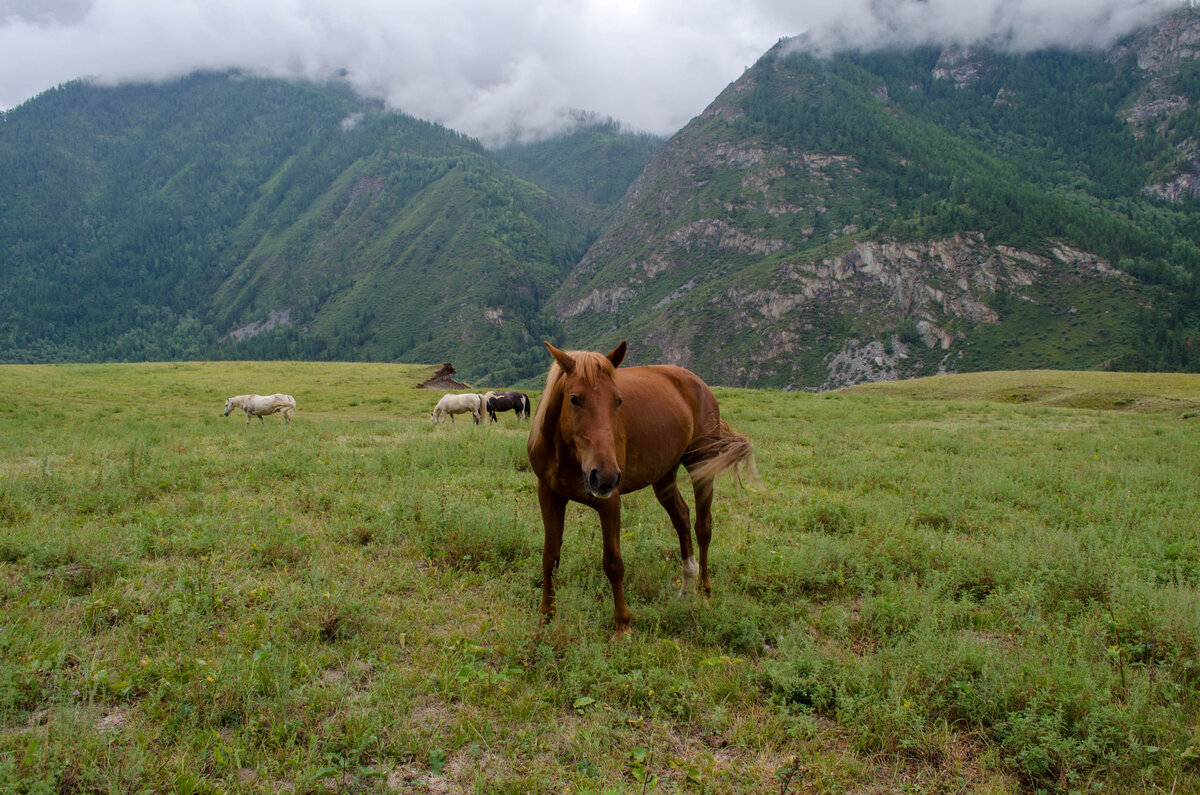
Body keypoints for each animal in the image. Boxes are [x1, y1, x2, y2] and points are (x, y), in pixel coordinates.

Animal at [525, 338, 748, 638]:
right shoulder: (548, 495)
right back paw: (687, 585)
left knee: (703, 527)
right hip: (663, 476)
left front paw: (623, 625)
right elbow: (550, 556)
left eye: (618, 400)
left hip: (701, 466)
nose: (604, 476)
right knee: (682, 518)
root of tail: (698, 384)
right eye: (574, 399)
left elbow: (613, 563)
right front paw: (546, 617)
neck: (567, 455)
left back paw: (704, 590)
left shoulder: (609, 501)